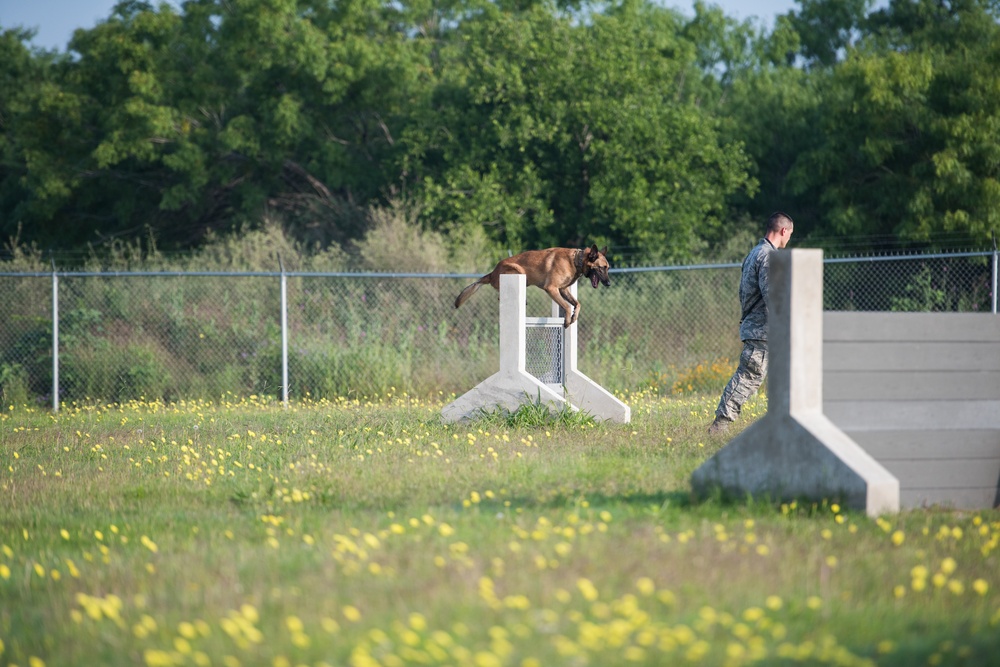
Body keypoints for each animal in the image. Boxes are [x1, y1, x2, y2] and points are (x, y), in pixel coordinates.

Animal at [454, 245, 608, 328]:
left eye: (607, 268)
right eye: (602, 268)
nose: (608, 283)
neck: (576, 260)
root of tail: (492, 273)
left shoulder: (563, 290)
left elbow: (577, 304)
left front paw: (574, 316)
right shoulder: (551, 288)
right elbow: (567, 306)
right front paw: (568, 319)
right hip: (519, 272)